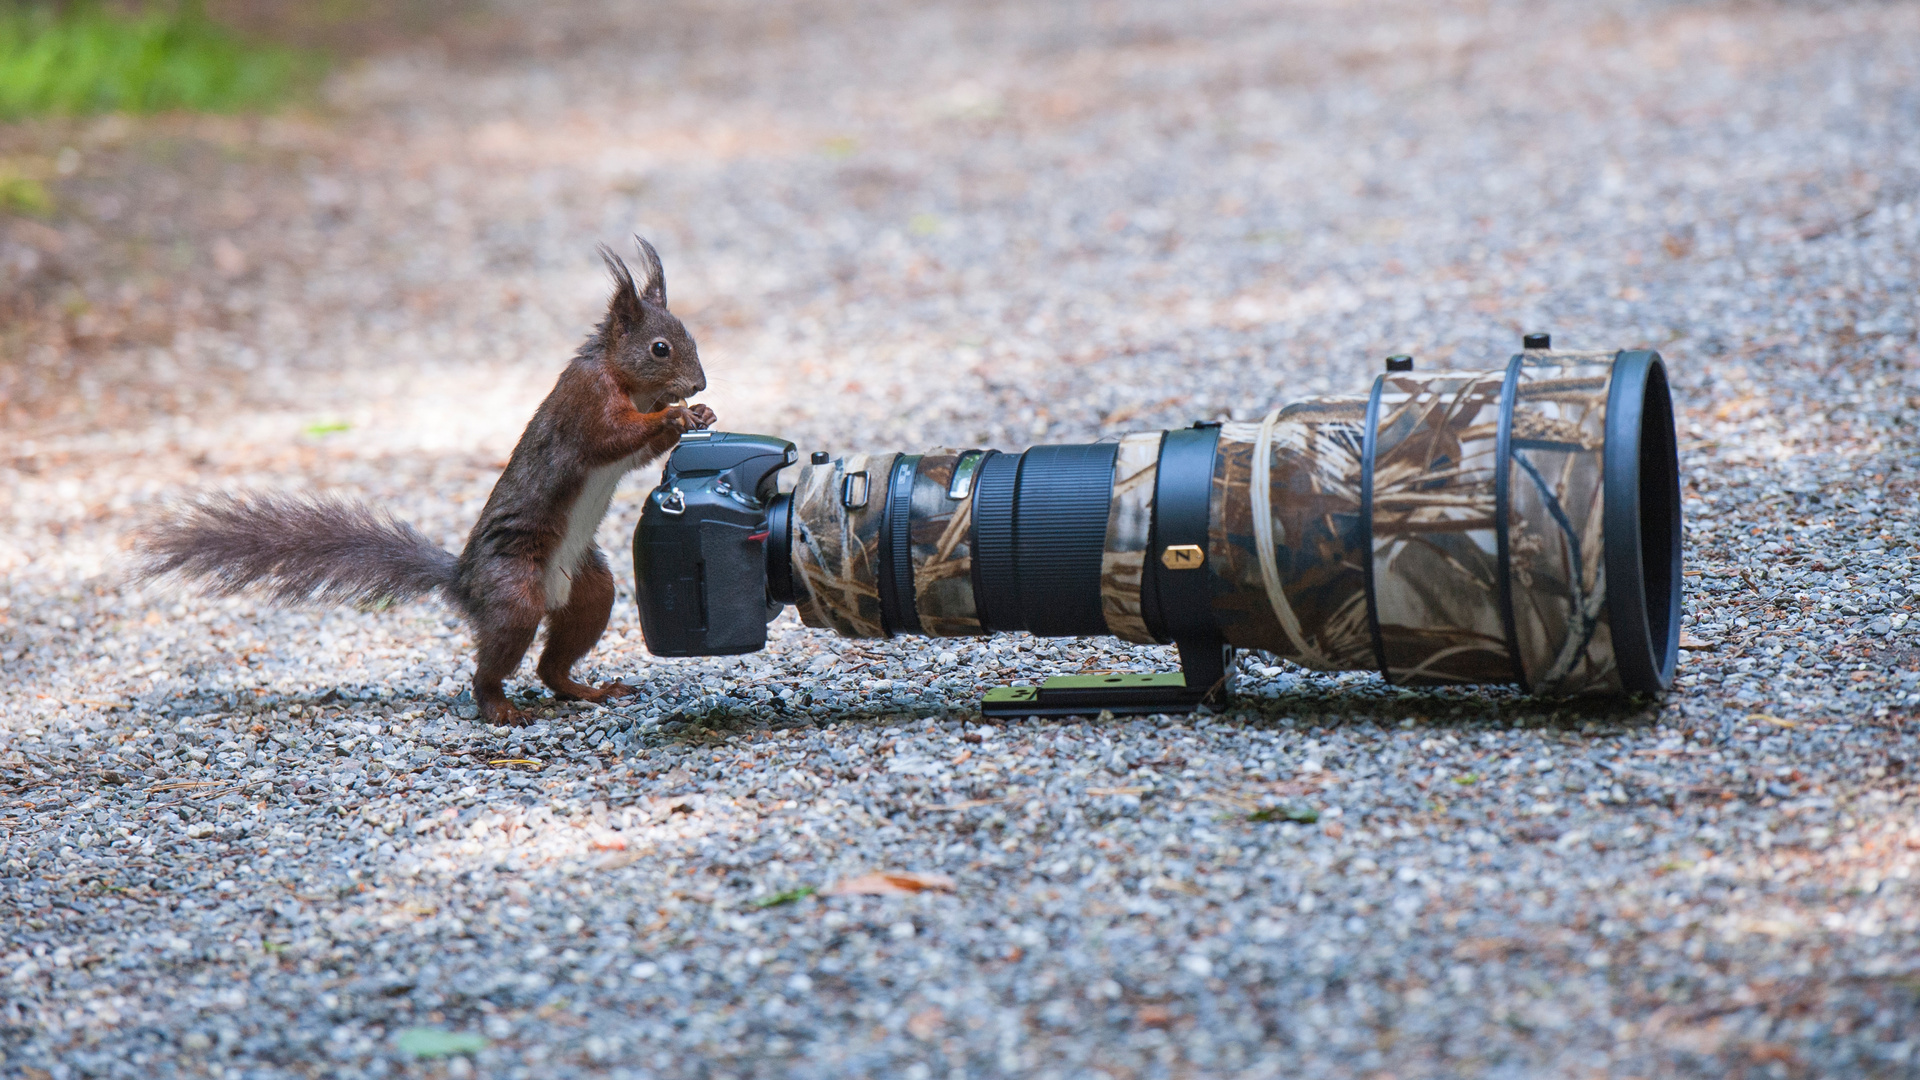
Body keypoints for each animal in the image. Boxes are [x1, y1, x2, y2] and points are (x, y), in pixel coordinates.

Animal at [139, 237, 718, 722]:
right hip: (515, 593)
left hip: (590, 589)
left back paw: (588, 691)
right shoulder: (586, 401)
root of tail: (464, 583)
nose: (699, 383)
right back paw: (499, 708)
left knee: (552, 665)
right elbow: (611, 438)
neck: (623, 378)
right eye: (661, 348)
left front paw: (699, 413)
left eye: (689, 335)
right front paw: (674, 416)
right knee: (494, 666)